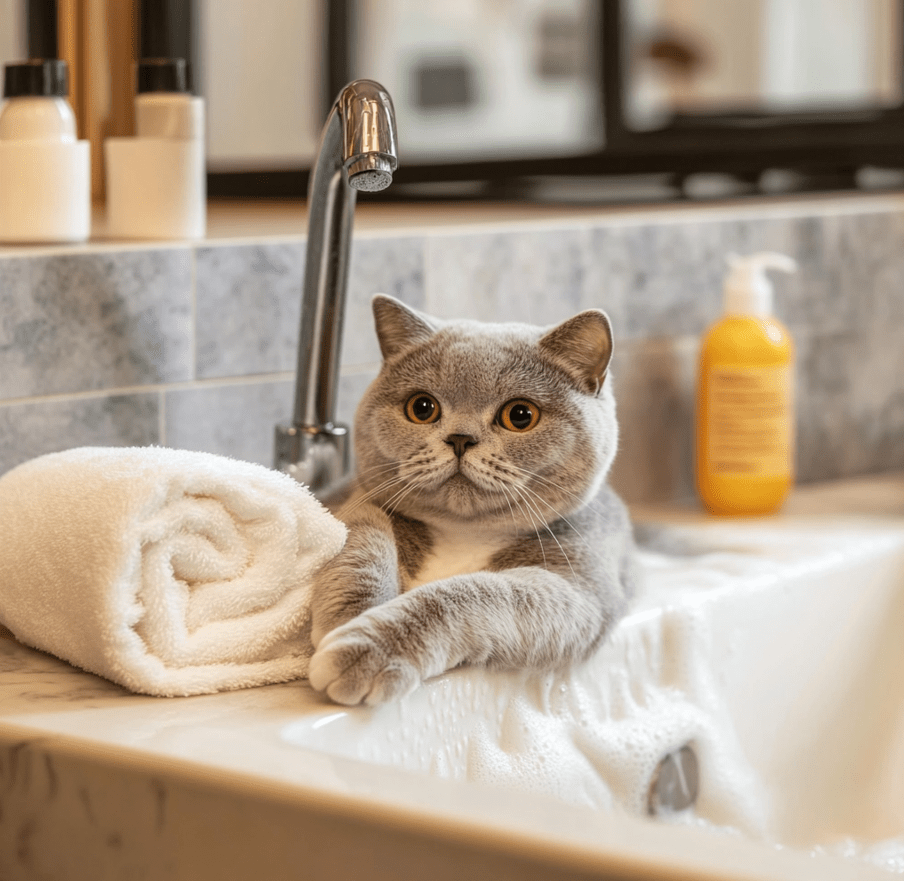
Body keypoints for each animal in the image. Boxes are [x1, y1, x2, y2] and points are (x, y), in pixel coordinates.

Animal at [308, 292, 640, 704]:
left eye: (520, 415)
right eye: (421, 407)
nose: (460, 438)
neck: (464, 534)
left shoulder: (581, 590)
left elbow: (471, 594)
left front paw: (364, 651)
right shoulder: (356, 502)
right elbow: (364, 543)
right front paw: (349, 618)